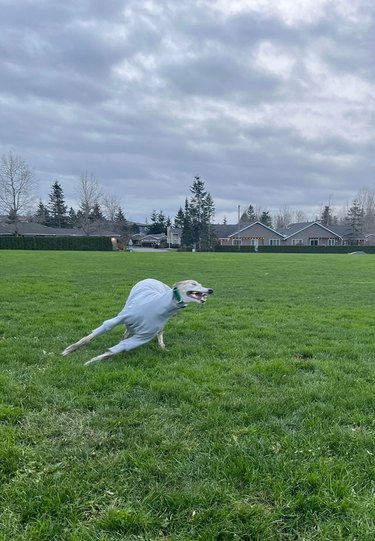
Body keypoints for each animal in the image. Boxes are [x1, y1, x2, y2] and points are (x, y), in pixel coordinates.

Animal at [63, 280, 213, 364]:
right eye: (194, 283)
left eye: (201, 284)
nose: (210, 290)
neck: (160, 306)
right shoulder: (120, 318)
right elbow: (94, 334)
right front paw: (69, 350)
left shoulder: (143, 336)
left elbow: (117, 349)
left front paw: (91, 361)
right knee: (127, 328)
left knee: (158, 332)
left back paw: (161, 345)